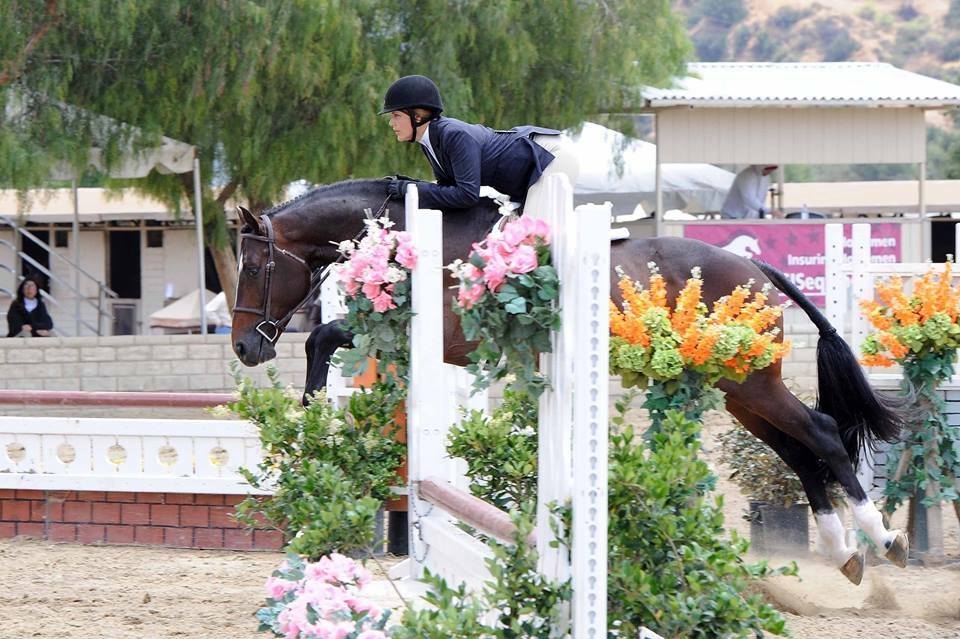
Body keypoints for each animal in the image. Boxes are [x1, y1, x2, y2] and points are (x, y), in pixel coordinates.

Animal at [231, 178, 908, 588]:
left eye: (257, 268)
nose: (243, 348)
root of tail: (755, 266)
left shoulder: (438, 333)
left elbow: (322, 336)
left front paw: (311, 415)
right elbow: (323, 339)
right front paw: (312, 416)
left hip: (752, 382)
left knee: (821, 433)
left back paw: (880, 538)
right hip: (735, 389)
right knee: (794, 447)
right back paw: (842, 551)